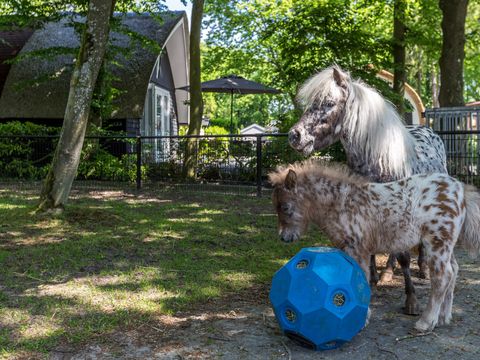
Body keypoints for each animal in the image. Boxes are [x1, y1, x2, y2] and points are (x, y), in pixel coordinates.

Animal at [270, 162, 480, 334]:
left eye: (285, 207)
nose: (284, 238)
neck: (340, 203)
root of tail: (460, 189)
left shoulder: (358, 248)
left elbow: (361, 279)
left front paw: (363, 319)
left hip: (436, 242)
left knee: (442, 277)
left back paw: (426, 322)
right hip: (446, 245)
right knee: (453, 271)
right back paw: (443, 317)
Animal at [286, 65, 448, 316]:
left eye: (329, 103)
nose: (295, 136)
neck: (379, 162)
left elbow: (404, 256)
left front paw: (411, 300)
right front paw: (370, 279)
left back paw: (422, 268)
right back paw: (387, 272)